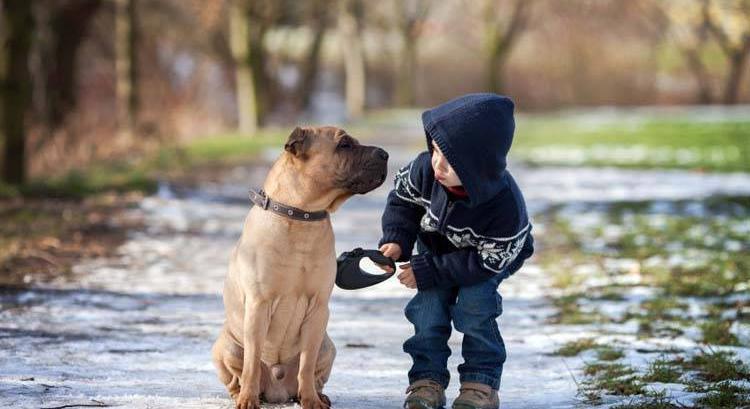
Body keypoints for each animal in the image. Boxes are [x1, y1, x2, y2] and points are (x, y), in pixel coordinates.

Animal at [212, 126, 388, 406]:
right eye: (344, 144)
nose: (385, 154)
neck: (302, 216)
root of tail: (278, 389)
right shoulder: (258, 305)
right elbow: (252, 362)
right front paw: (248, 399)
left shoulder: (318, 309)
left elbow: (306, 364)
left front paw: (311, 401)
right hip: (226, 347)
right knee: (238, 375)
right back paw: (243, 394)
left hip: (328, 346)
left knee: (313, 372)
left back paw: (318, 395)